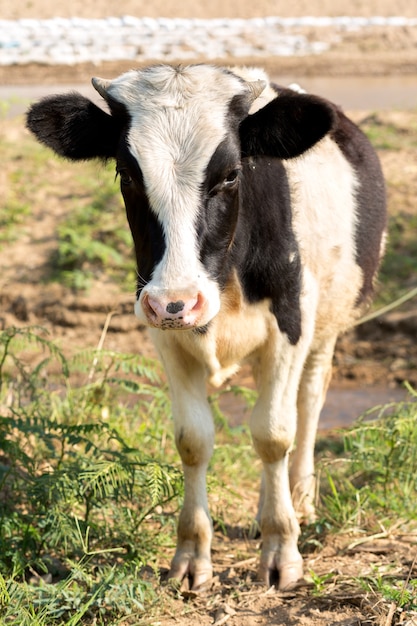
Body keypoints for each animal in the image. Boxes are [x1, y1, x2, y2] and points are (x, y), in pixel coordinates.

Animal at [26, 63, 386, 588]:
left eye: (231, 174)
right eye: (126, 173)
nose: (175, 302)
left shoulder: (290, 324)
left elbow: (274, 434)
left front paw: (282, 548)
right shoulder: (163, 333)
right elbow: (193, 440)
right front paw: (193, 555)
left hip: (328, 324)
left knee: (309, 402)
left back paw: (299, 499)